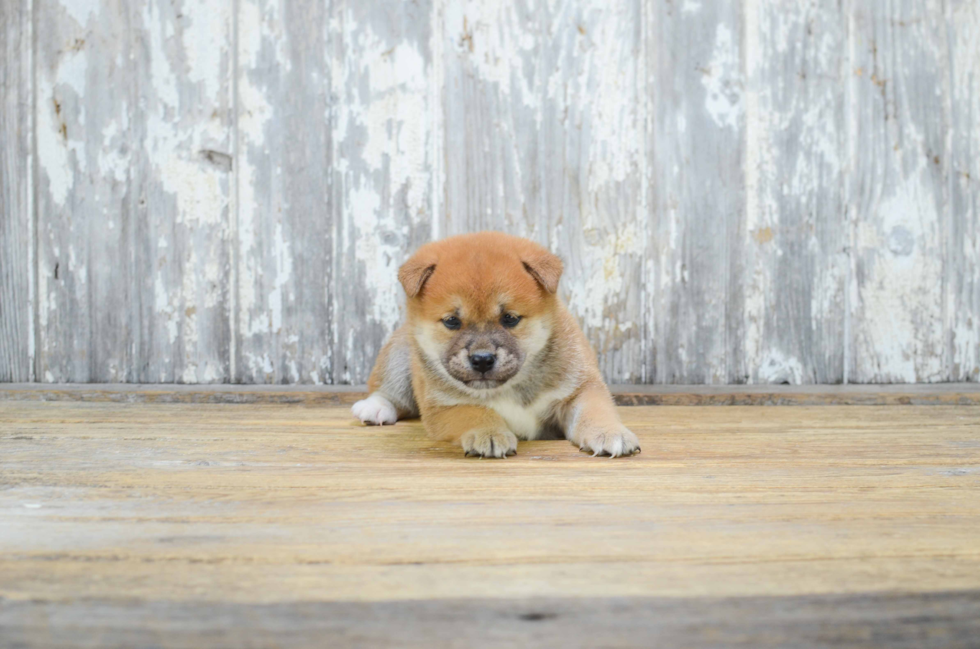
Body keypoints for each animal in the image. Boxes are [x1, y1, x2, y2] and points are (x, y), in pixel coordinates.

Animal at [348, 230, 640, 458]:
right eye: (452, 321)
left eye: (509, 318)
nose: (482, 360)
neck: (509, 388)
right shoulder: (443, 407)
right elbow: (475, 412)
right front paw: (488, 433)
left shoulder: (579, 389)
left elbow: (594, 410)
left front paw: (609, 432)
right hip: (399, 354)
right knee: (389, 389)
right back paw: (375, 407)